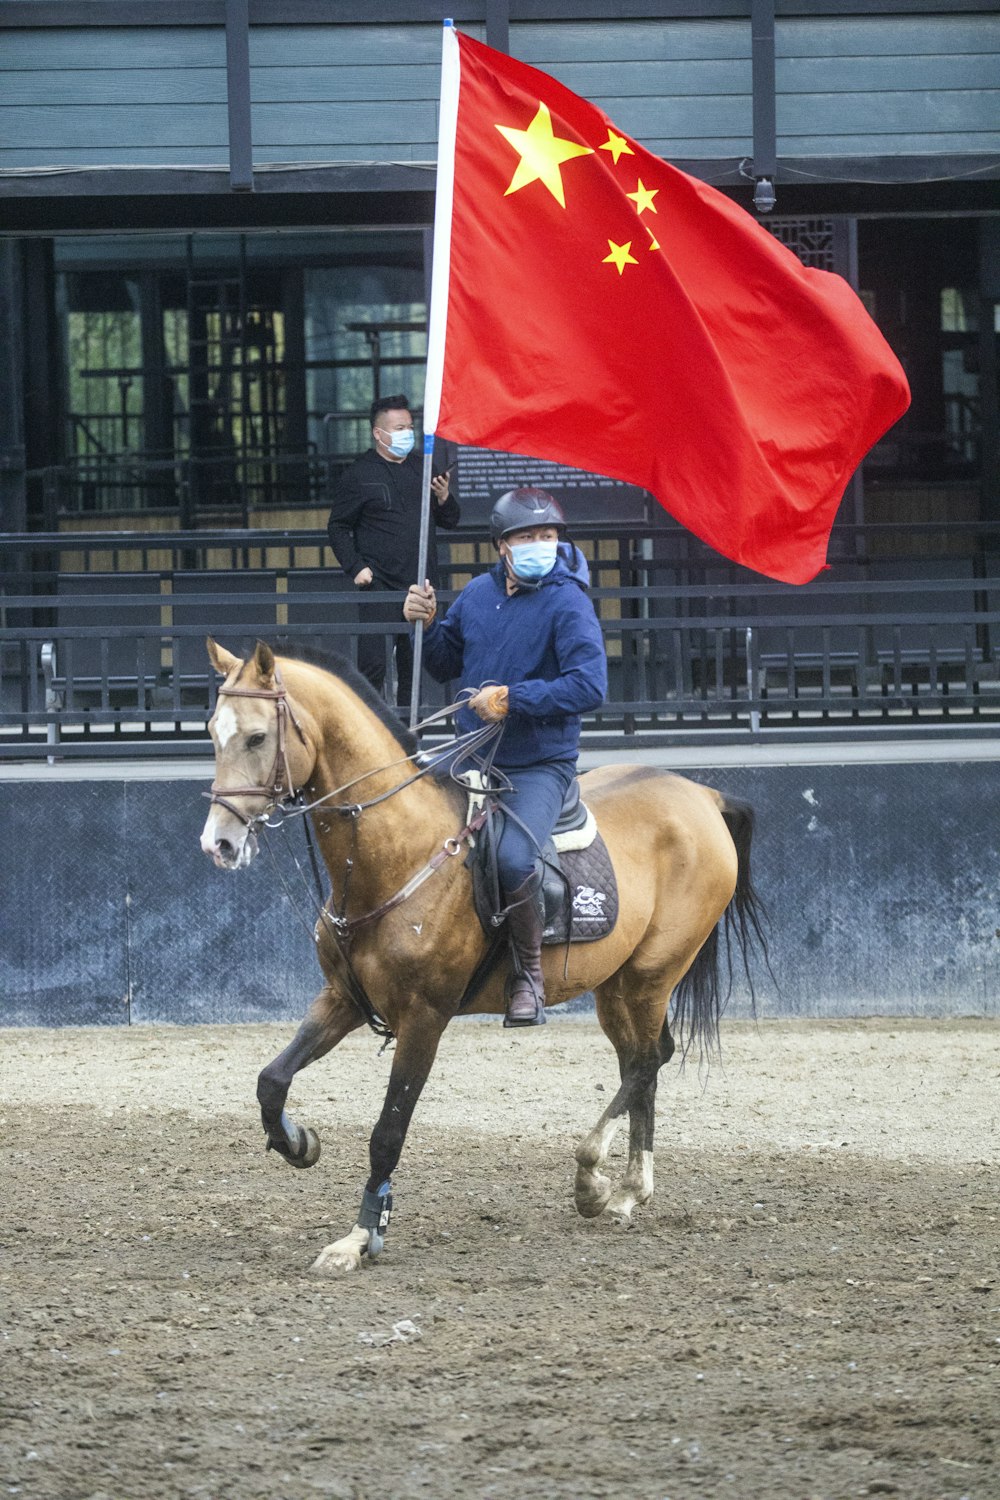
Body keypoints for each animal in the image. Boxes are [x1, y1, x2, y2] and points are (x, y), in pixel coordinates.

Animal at [199, 639, 773, 1272]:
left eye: (257, 738)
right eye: (213, 732)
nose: (218, 842)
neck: (399, 852)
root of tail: (701, 794)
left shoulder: (424, 1018)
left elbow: (387, 1131)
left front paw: (362, 1235)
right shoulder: (344, 998)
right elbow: (271, 1081)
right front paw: (299, 1144)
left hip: (652, 974)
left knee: (650, 1059)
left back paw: (594, 1177)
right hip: (615, 984)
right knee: (639, 1063)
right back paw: (628, 1190)